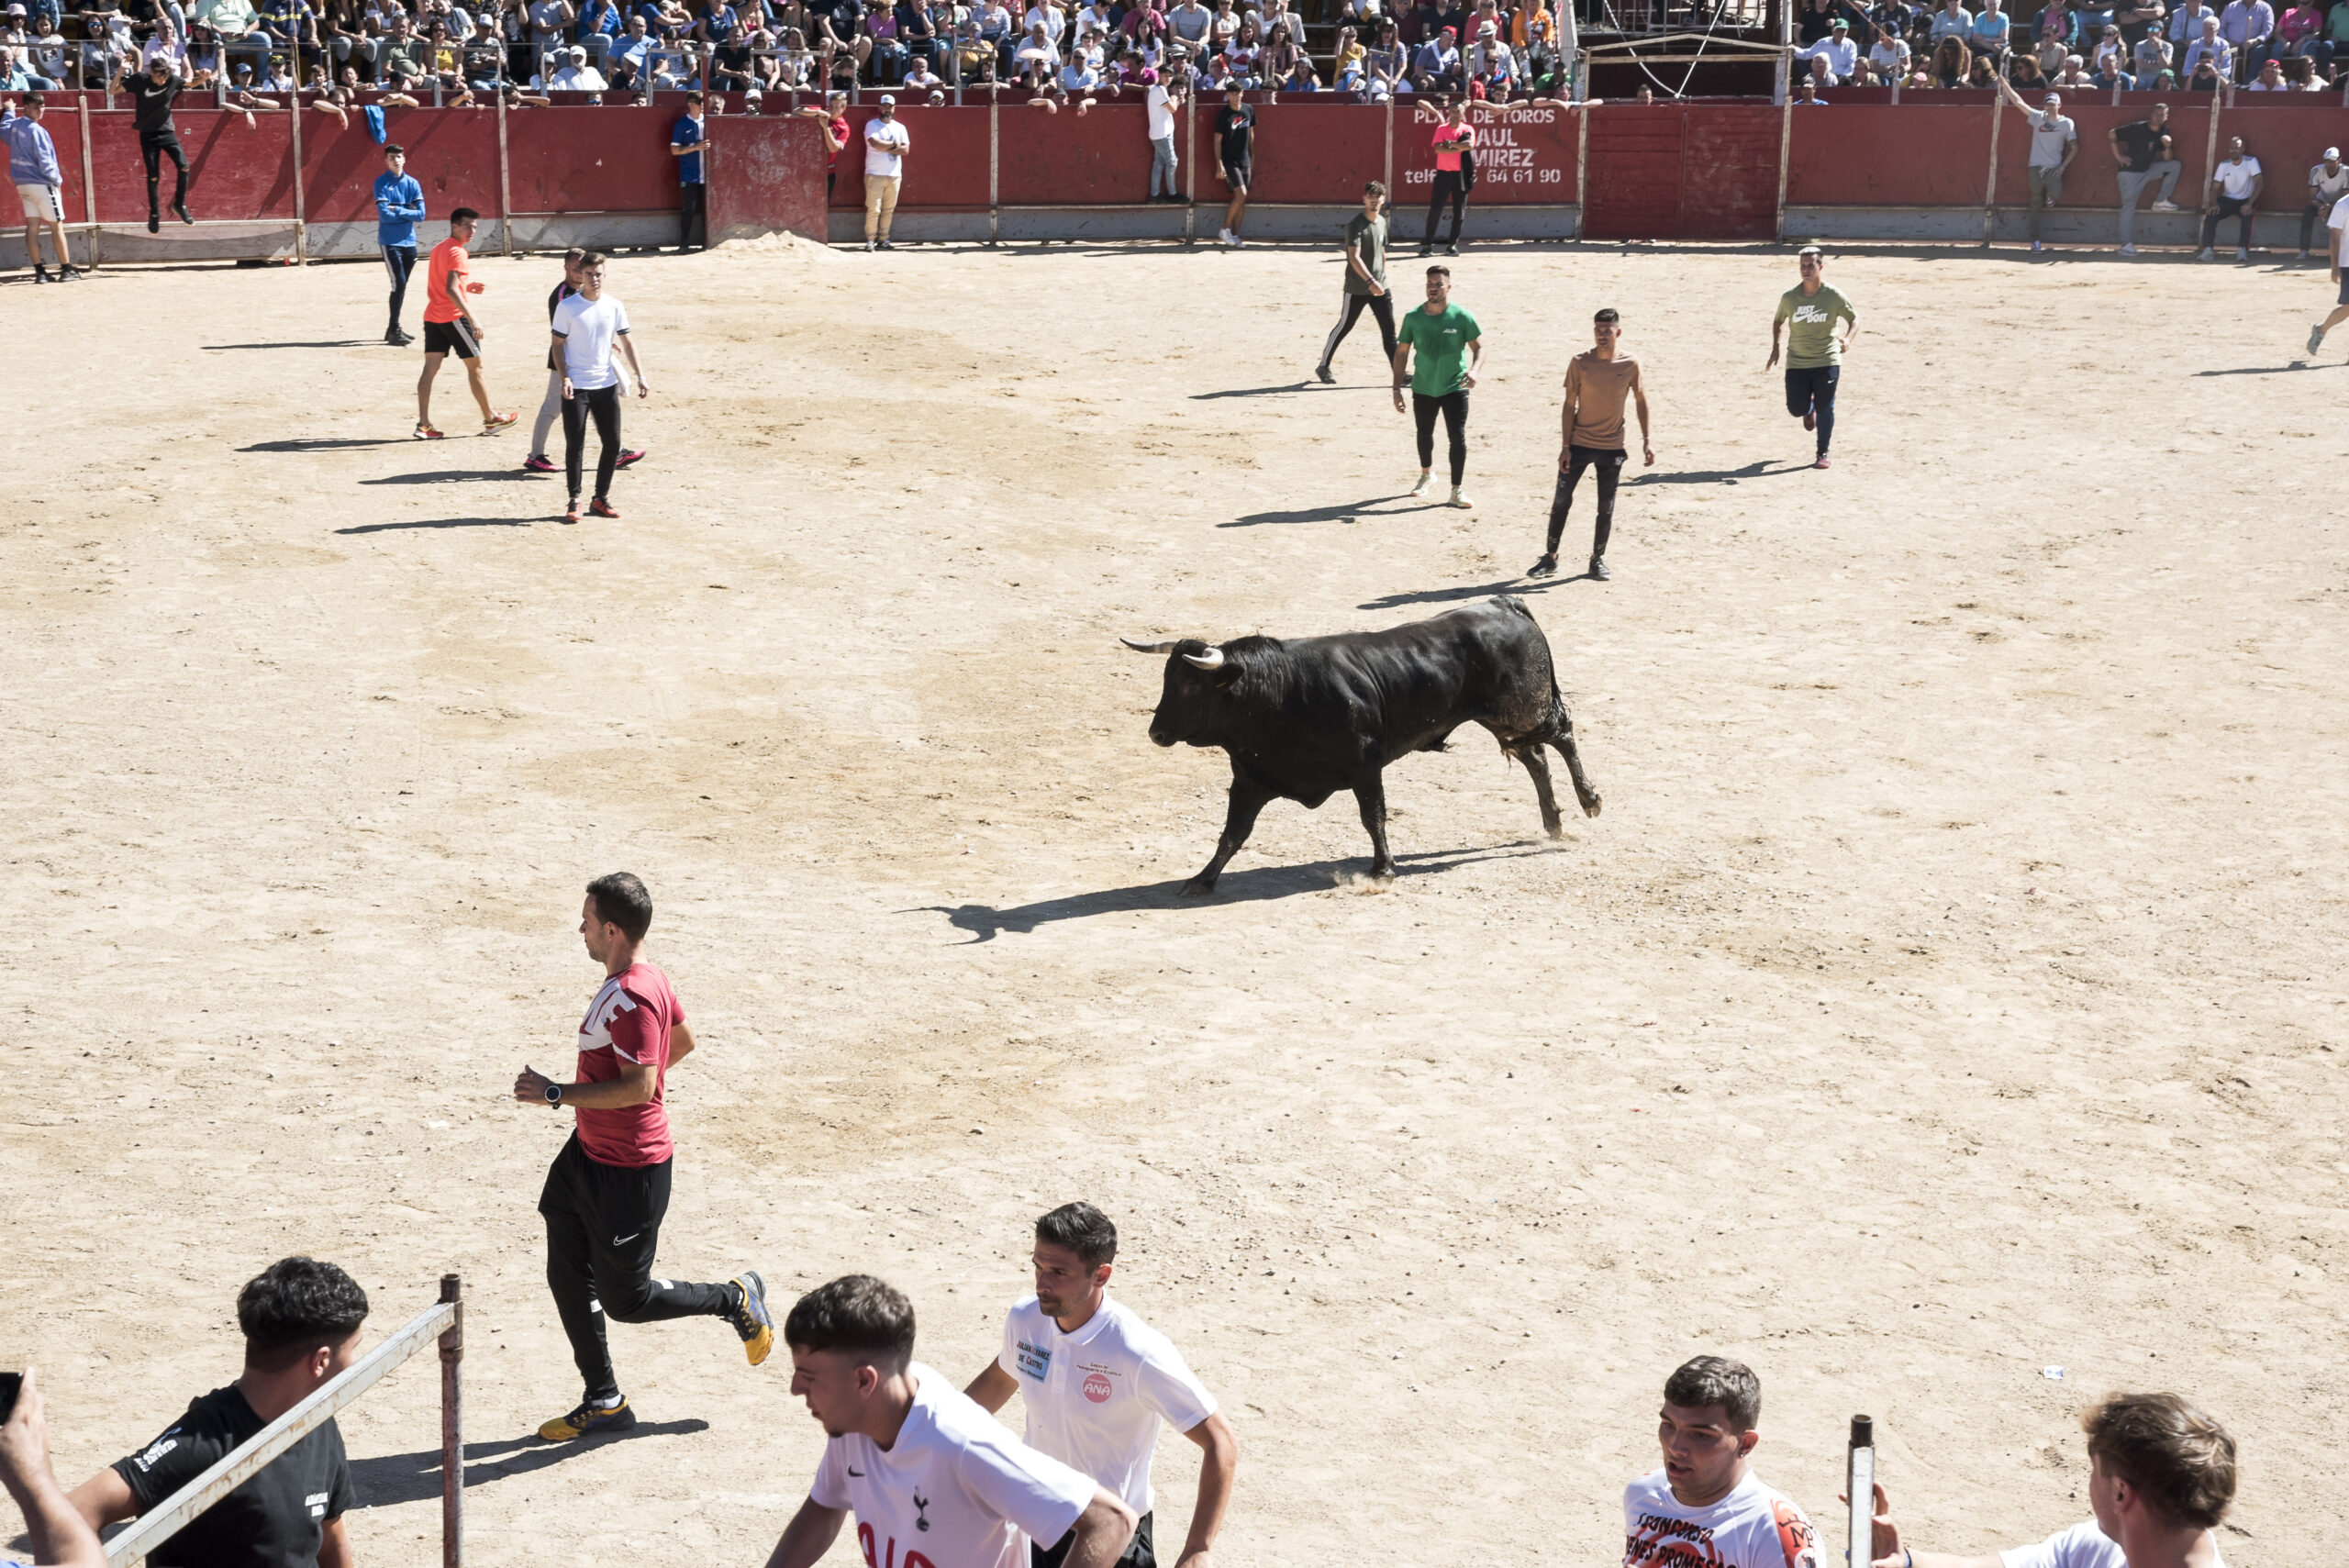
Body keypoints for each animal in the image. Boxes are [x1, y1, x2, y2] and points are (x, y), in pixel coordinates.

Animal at [1127, 594, 1607, 892]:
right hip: (1504, 718)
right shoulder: (1249, 780)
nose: (1156, 733)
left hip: (1524, 707)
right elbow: (1232, 833)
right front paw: (1202, 880)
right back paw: (1553, 823)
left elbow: (1372, 818)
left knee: (1562, 735)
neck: (1280, 694)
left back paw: (1589, 801)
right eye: (1167, 680)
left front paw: (1382, 870)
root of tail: (1505, 603)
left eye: (1191, 687)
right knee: (1536, 757)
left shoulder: (1365, 767)